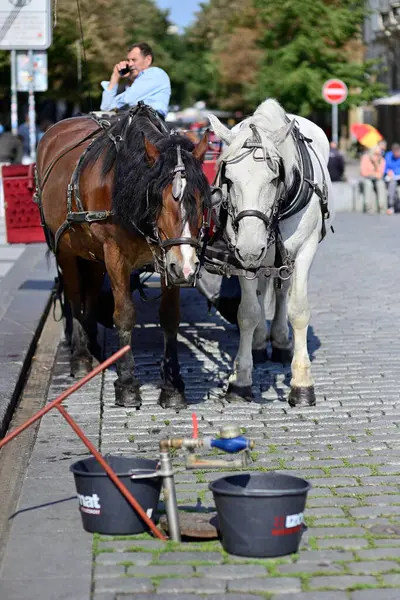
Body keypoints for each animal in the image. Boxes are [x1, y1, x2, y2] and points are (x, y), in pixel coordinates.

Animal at [36, 105, 211, 410]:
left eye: (201, 201)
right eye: (160, 200)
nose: (188, 268)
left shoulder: (167, 258)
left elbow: (169, 317)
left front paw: (172, 386)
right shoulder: (115, 254)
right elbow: (124, 314)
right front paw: (127, 384)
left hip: (92, 254)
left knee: (91, 293)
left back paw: (94, 348)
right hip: (66, 251)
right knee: (74, 295)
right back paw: (80, 356)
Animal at [208, 98, 336, 408]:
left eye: (274, 177)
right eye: (228, 178)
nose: (251, 246)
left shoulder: (305, 249)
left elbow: (298, 310)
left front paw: (302, 384)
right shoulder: (240, 253)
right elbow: (247, 312)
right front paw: (240, 380)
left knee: (282, 291)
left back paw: (279, 342)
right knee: (262, 290)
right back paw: (258, 342)